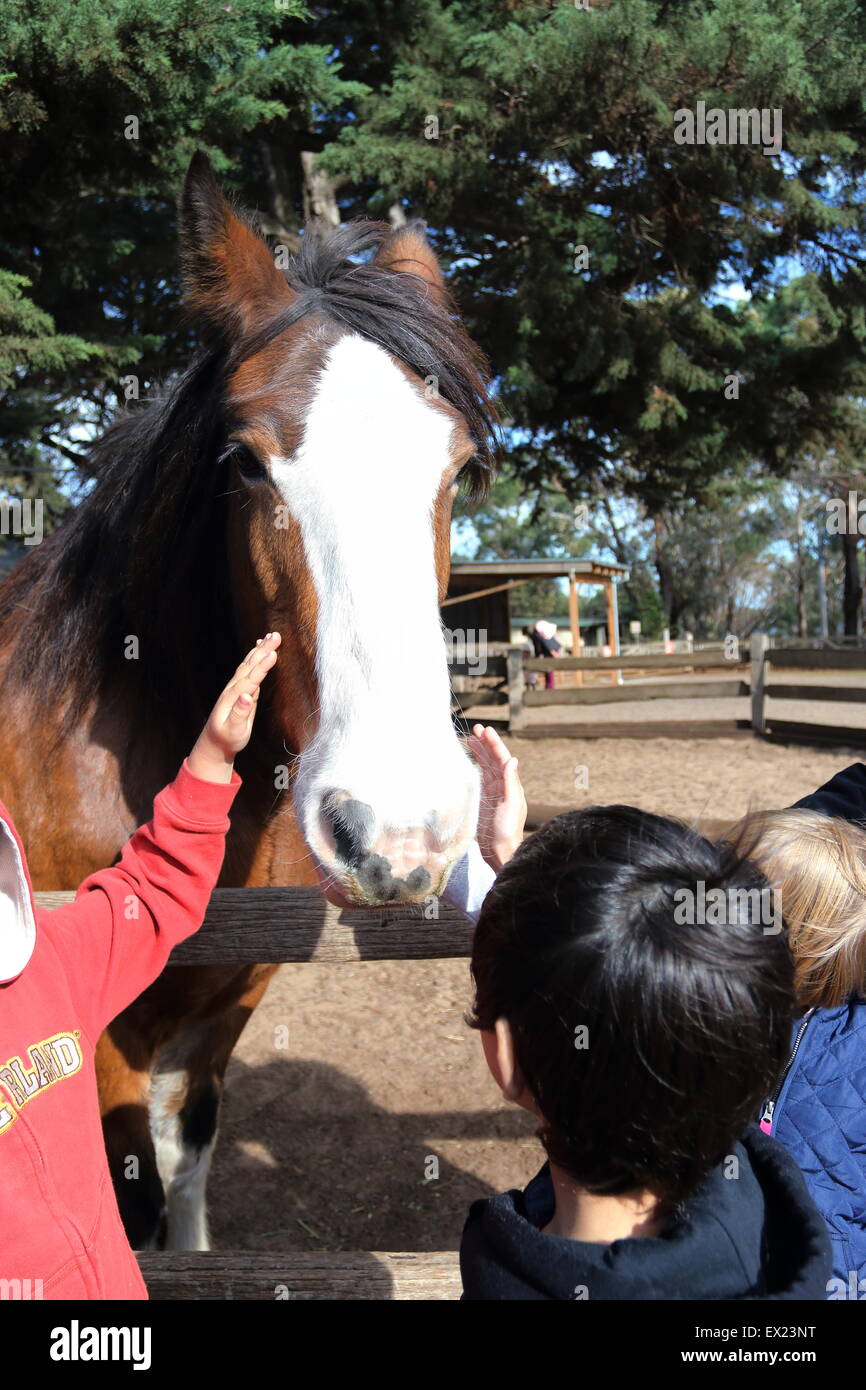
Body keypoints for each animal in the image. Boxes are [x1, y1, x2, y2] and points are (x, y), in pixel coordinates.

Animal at [0, 152, 497, 1251]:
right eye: (242, 460)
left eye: (458, 467)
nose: (399, 832)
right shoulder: (105, 1031)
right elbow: (134, 1196)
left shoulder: (227, 1001)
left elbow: (189, 1155)